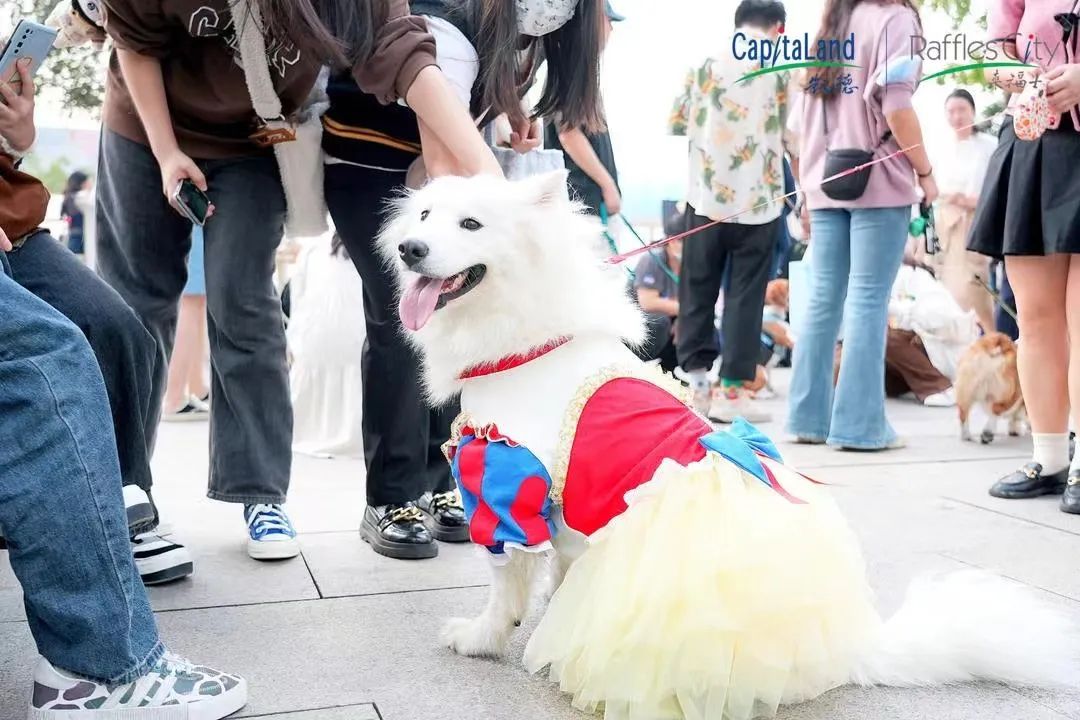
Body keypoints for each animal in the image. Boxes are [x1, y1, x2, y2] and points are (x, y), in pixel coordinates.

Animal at [375, 172, 1075, 720]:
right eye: (425, 217)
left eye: (471, 224)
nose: (409, 248)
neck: (527, 339)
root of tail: (853, 646)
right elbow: (557, 569)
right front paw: (549, 612)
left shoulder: (502, 477)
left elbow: (505, 589)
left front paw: (481, 638)